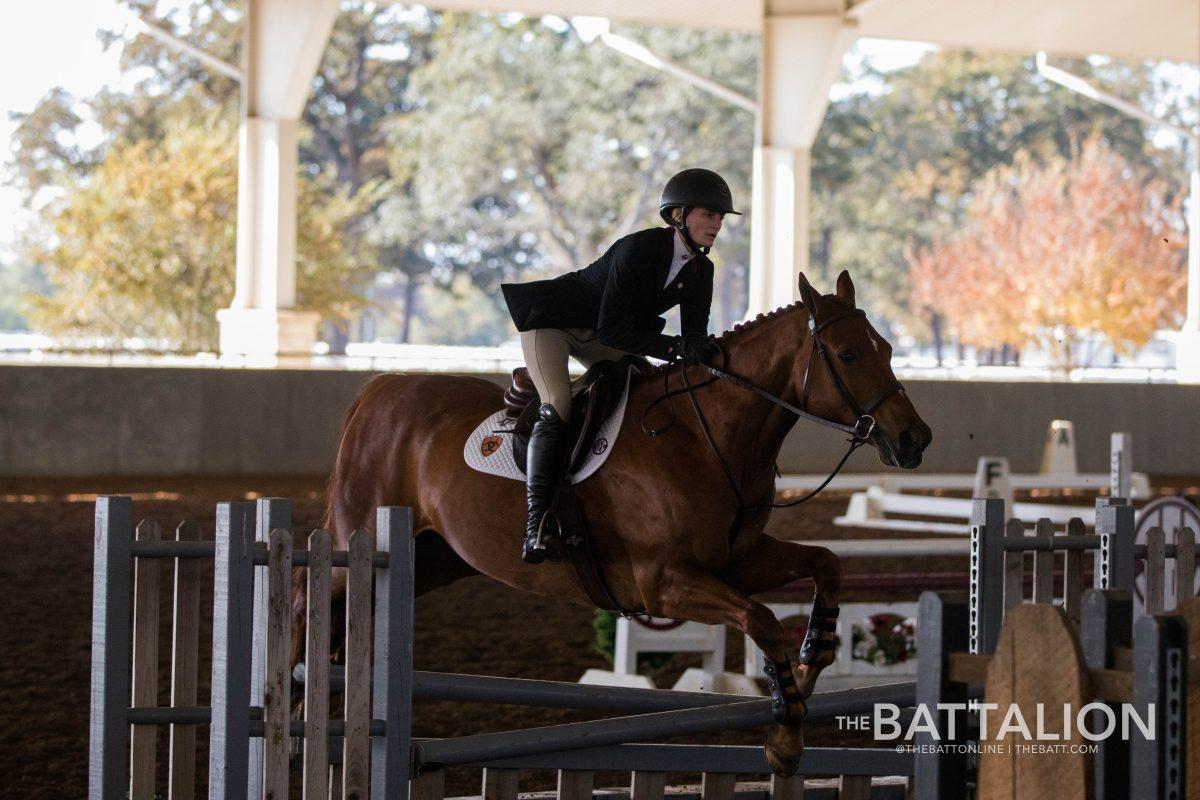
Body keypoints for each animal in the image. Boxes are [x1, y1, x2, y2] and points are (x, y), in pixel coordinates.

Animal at [288, 271, 926, 777]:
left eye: (887, 347)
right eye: (848, 355)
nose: (915, 439)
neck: (706, 435)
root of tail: (380, 390)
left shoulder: (738, 563)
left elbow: (827, 565)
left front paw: (811, 663)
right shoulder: (663, 583)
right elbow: (764, 622)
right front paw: (786, 737)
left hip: (433, 560)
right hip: (356, 539)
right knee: (304, 593)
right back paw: (294, 699)